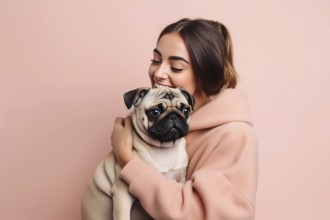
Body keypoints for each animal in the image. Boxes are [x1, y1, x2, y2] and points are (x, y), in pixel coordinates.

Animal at [108, 86, 195, 220]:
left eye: (185, 110)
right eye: (155, 112)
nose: (173, 116)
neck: (165, 147)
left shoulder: (180, 180)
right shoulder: (121, 191)